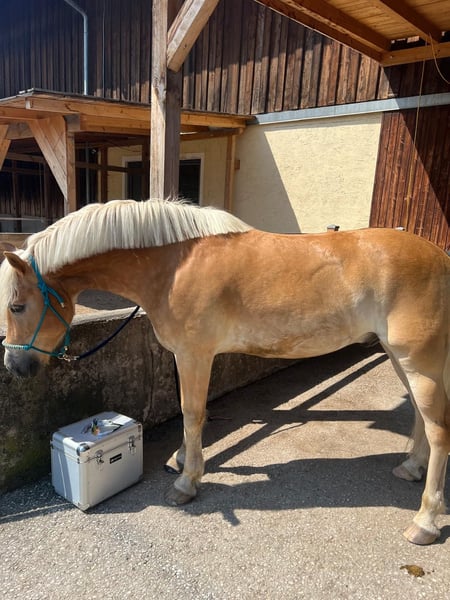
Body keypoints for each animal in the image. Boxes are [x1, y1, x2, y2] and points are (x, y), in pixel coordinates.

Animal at [0, 199, 449, 545]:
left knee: (438, 430)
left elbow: (192, 412)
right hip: (398, 357)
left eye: (16, 306)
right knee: (420, 419)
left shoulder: (195, 354)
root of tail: (440, 256)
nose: (15, 366)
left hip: (419, 361)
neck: (172, 266)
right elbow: (190, 411)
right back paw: (411, 467)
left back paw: (425, 522)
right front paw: (182, 460)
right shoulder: (187, 356)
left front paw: (186, 483)